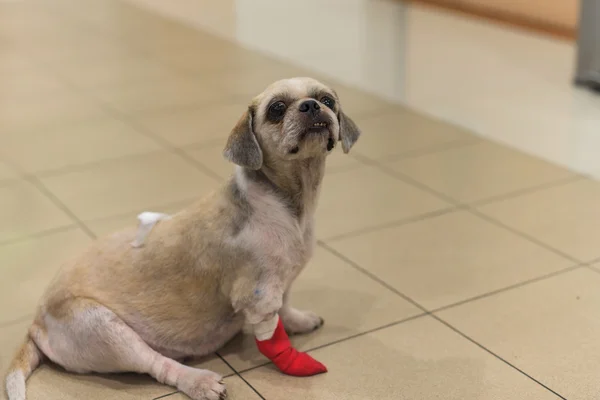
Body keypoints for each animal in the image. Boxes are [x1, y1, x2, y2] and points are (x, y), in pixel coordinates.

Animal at [4, 77, 360, 400]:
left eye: (327, 100)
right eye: (276, 109)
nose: (311, 106)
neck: (288, 203)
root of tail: (36, 324)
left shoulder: (280, 282)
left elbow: (285, 307)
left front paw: (298, 320)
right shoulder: (259, 294)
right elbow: (271, 329)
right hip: (104, 329)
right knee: (155, 363)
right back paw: (198, 380)